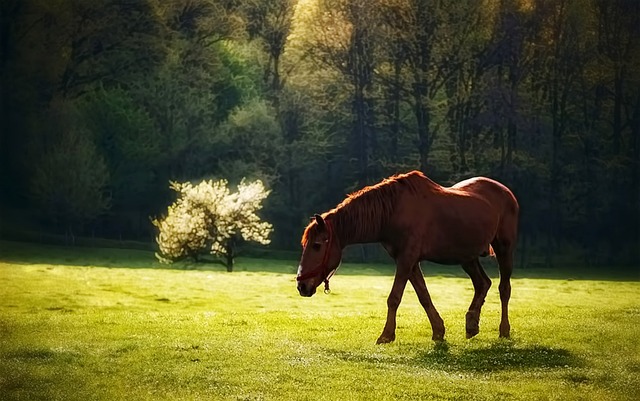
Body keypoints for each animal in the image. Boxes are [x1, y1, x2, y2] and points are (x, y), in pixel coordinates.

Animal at [298, 170, 516, 342]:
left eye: (317, 246)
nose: (302, 286)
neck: (393, 211)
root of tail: (507, 192)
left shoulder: (406, 259)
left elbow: (394, 297)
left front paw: (386, 335)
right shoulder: (408, 261)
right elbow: (423, 296)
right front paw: (438, 331)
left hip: (504, 248)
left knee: (503, 289)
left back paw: (503, 330)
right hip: (467, 256)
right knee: (482, 284)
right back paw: (471, 324)